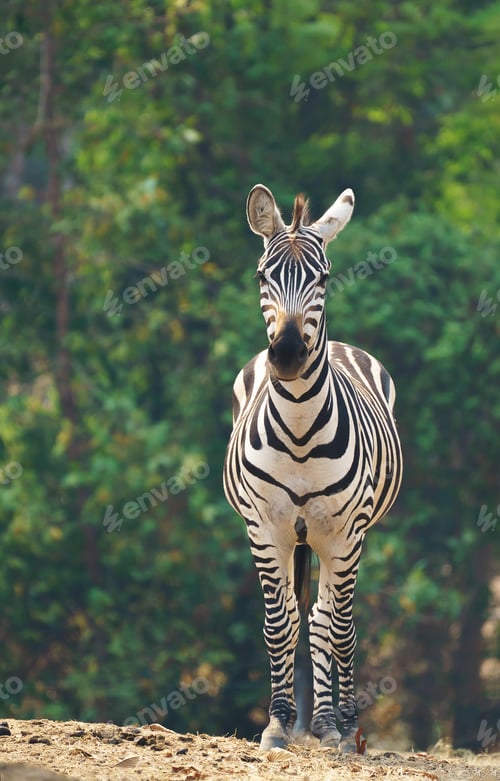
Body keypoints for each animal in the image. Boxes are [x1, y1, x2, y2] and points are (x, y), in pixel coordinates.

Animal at [223, 184, 402, 753]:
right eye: (262, 276)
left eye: (322, 278)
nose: (285, 355)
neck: (301, 428)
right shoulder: (265, 529)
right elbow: (279, 625)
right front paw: (278, 724)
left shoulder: (345, 533)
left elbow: (338, 628)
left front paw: (343, 729)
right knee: (305, 617)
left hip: (340, 538)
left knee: (328, 621)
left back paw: (331, 723)